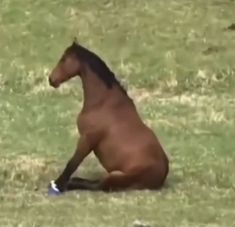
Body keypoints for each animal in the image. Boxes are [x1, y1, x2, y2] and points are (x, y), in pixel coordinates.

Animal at [47, 38, 169, 193]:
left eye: (63, 59)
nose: (51, 79)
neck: (103, 102)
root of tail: (162, 175)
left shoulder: (87, 139)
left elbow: (72, 163)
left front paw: (57, 185)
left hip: (116, 176)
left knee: (98, 185)